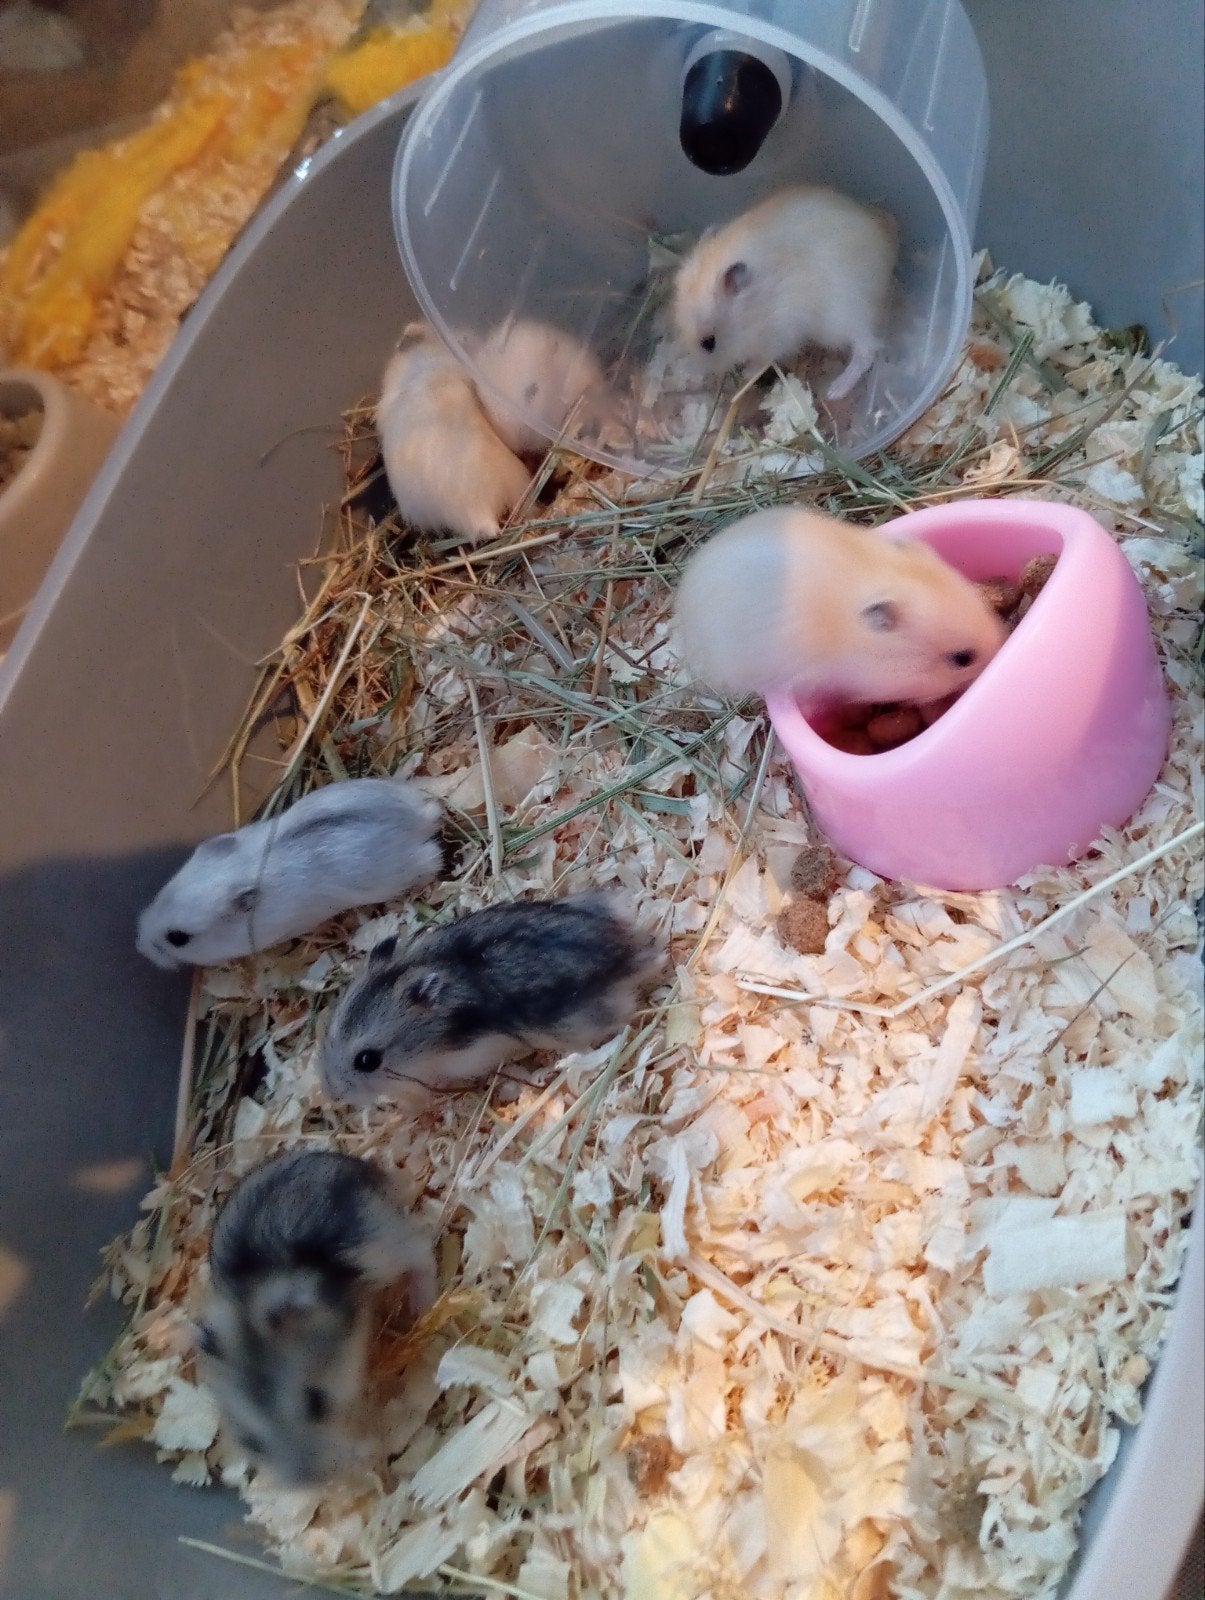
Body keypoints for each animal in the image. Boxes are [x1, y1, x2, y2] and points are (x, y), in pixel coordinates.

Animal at [196, 1149, 436, 1486]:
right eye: (251, 1442)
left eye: (317, 1403)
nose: (312, 1481)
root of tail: (351, 1162)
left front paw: (369, 1449)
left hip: (381, 1244)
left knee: (421, 1249)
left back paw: (422, 1307)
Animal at [670, 185, 899, 399]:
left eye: (709, 343)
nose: (703, 373)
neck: (753, 309)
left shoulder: (780, 333)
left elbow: (762, 360)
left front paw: (746, 373)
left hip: (842, 317)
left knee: (866, 349)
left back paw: (835, 391)